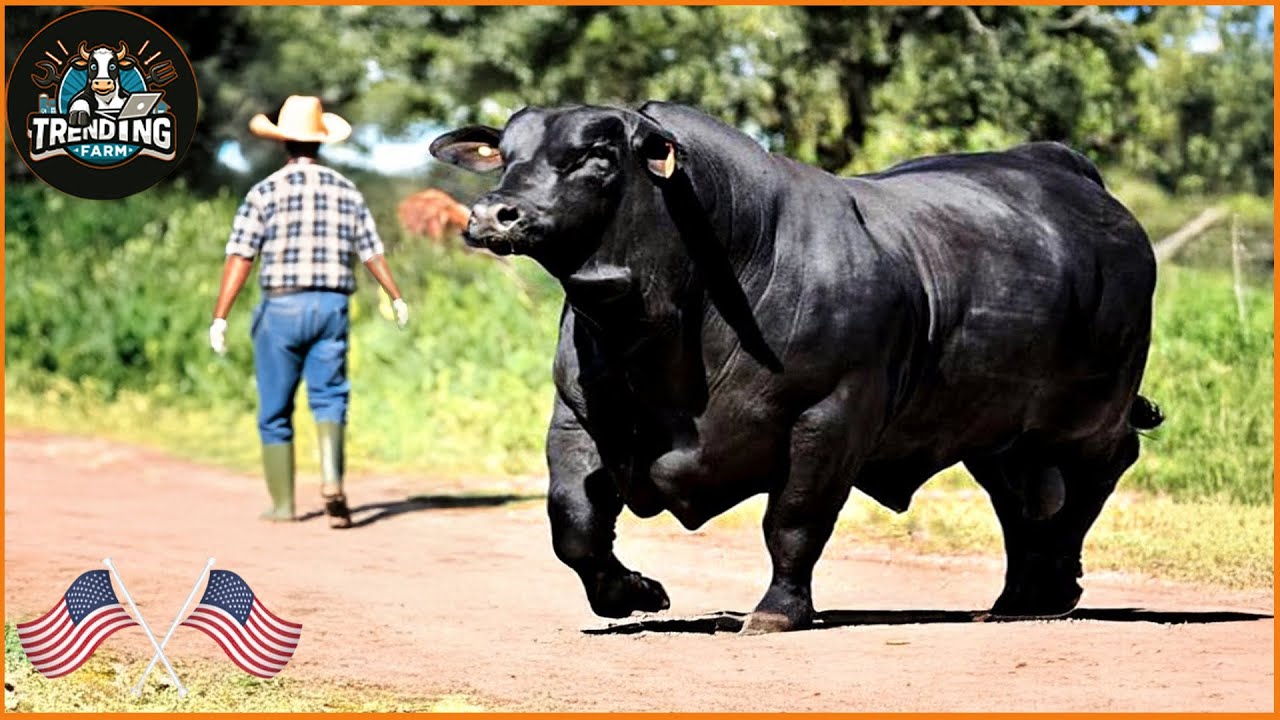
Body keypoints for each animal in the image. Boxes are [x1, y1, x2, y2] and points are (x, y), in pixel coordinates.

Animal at [429, 102, 1163, 634]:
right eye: (507, 156)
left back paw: (1056, 579)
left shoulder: (830, 416)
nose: (496, 212)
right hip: (993, 426)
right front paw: (630, 591)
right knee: (1022, 497)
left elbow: (793, 521)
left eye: (597, 155)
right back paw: (1021, 595)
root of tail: (1060, 167)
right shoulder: (579, 416)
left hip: (1088, 409)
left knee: (1101, 467)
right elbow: (573, 524)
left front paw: (777, 610)